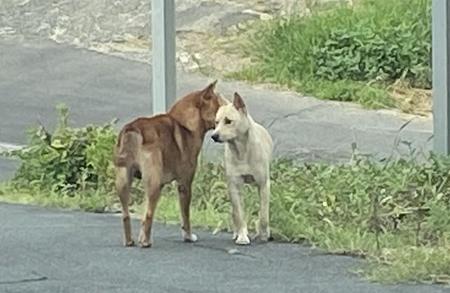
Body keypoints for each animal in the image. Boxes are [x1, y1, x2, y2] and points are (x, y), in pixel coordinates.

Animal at [114, 80, 223, 246]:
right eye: (219, 106)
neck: (185, 124)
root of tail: (133, 129)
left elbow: (143, 217)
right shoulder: (184, 184)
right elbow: (185, 217)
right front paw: (188, 237)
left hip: (124, 180)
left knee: (128, 215)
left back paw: (131, 241)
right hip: (153, 183)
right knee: (149, 214)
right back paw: (146, 242)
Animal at [212, 92, 272, 243]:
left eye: (228, 121)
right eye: (216, 122)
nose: (214, 136)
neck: (241, 151)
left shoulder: (263, 184)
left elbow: (264, 214)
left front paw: (263, 234)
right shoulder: (234, 185)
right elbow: (239, 213)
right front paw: (242, 236)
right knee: (235, 212)